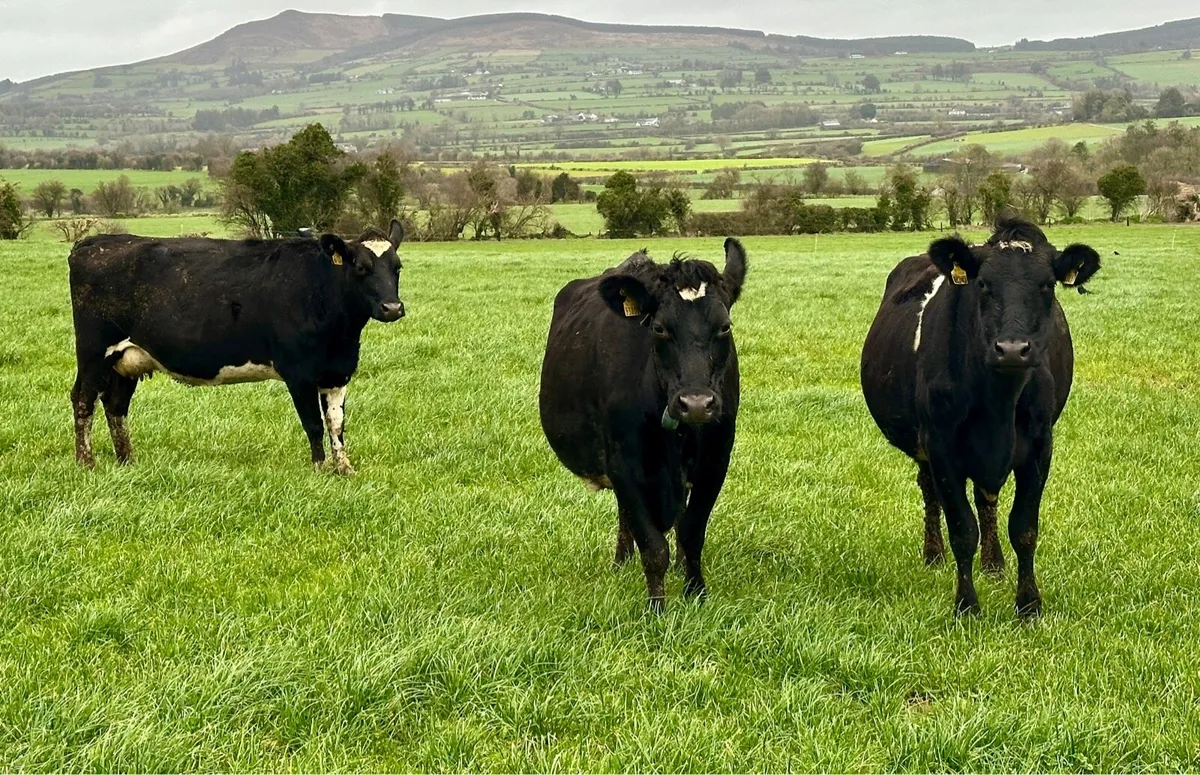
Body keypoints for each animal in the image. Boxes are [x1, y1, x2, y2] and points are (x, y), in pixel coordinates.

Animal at [67, 220, 406, 474]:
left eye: (397, 267)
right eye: (361, 268)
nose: (392, 307)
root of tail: (94, 242)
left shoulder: (338, 372)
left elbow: (336, 423)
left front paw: (344, 468)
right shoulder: (299, 373)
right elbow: (313, 424)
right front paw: (320, 469)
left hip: (126, 359)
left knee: (115, 404)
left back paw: (127, 460)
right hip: (94, 353)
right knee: (83, 400)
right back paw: (87, 462)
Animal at [539, 239, 747, 611]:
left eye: (725, 326)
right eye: (659, 328)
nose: (696, 403)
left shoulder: (715, 461)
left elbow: (692, 532)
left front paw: (696, 594)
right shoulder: (623, 463)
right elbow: (651, 545)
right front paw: (657, 610)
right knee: (627, 517)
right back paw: (621, 563)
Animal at [860, 215, 1101, 617]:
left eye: (1046, 285)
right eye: (983, 284)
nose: (1013, 349)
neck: (997, 406)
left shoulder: (1040, 446)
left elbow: (1024, 528)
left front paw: (1029, 605)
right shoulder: (941, 446)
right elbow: (962, 529)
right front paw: (967, 606)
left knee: (986, 499)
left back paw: (993, 564)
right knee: (929, 491)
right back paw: (933, 554)